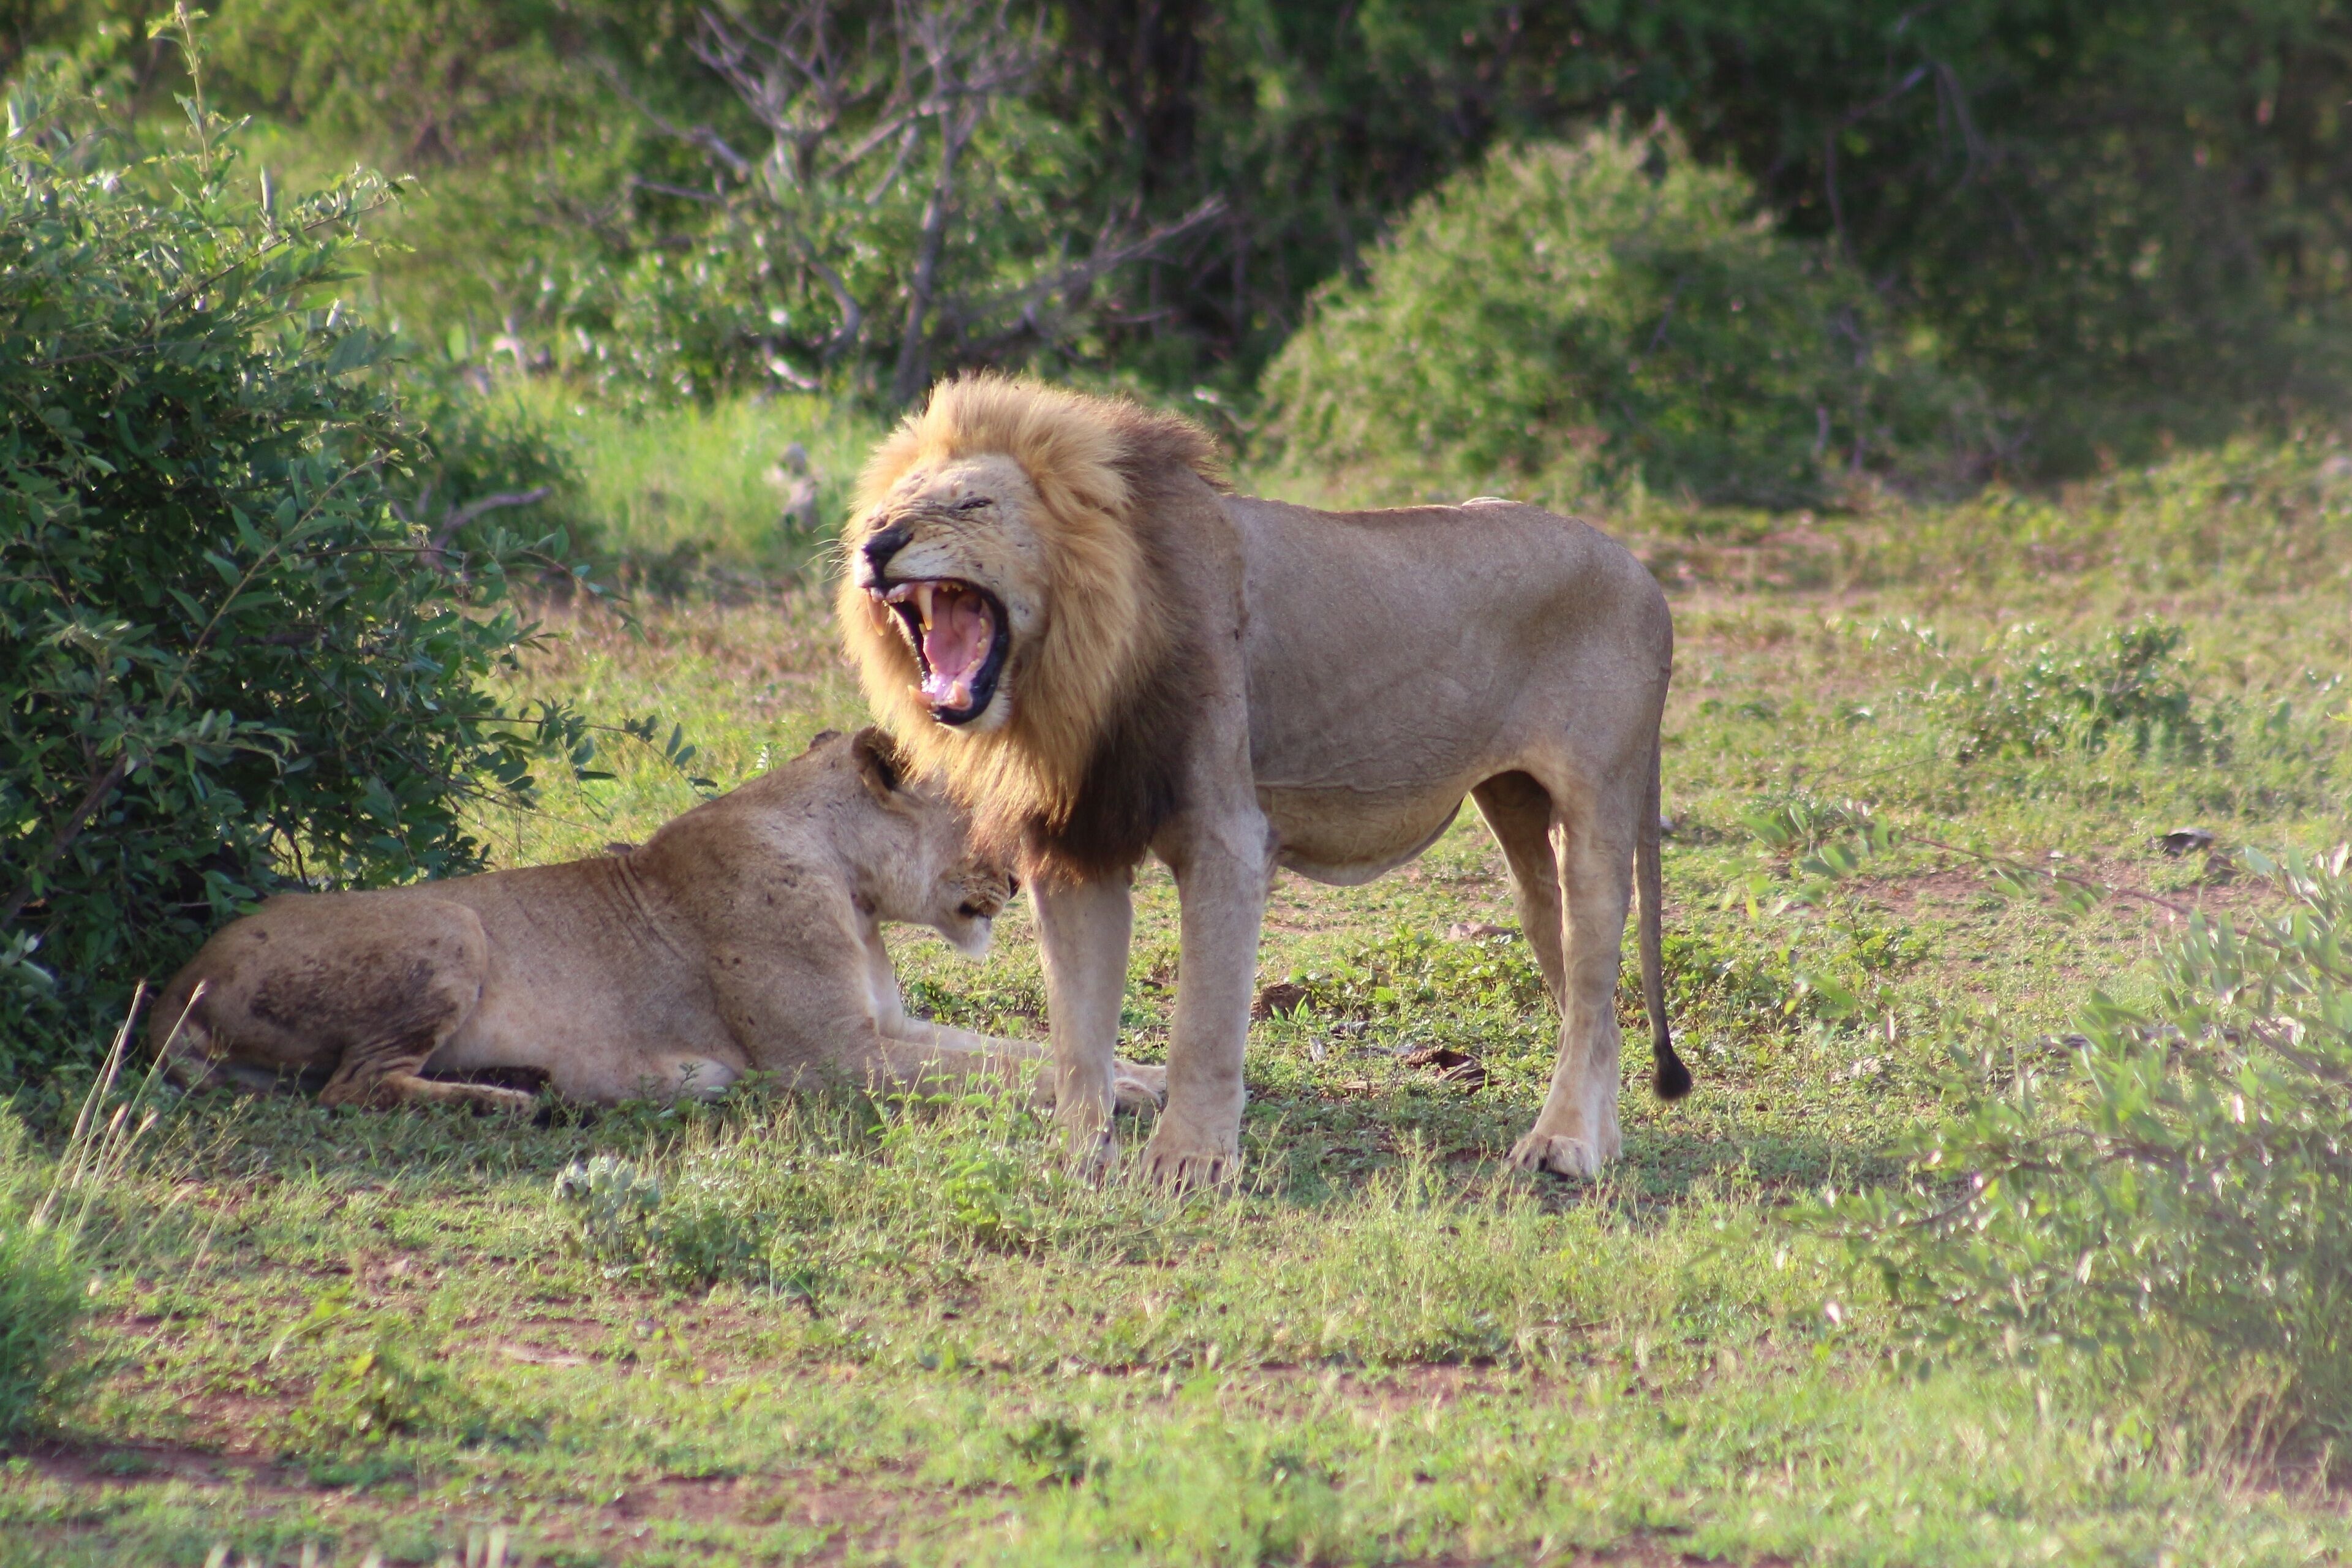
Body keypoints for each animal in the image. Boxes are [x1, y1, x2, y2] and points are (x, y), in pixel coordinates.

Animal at [152, 727, 1167, 1114]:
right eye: (988, 810)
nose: (1019, 876)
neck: (847, 881)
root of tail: (172, 986)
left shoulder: (890, 1027)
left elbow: (1015, 1050)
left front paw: (1145, 1075)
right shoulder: (838, 1059)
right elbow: (997, 1073)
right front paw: (1122, 1097)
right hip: (453, 926)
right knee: (352, 1087)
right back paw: (508, 1101)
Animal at [836, 376, 1687, 1186]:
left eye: (972, 502)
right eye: (883, 509)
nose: (877, 545)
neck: (1075, 668)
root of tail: (1643, 573)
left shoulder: (1227, 838)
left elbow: (1203, 1022)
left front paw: (1188, 1161)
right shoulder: (1077, 845)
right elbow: (1077, 1031)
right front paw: (1076, 1160)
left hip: (1598, 807)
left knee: (1592, 989)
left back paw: (1563, 1144)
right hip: (1518, 819)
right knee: (1592, 1002)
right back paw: (1596, 1140)